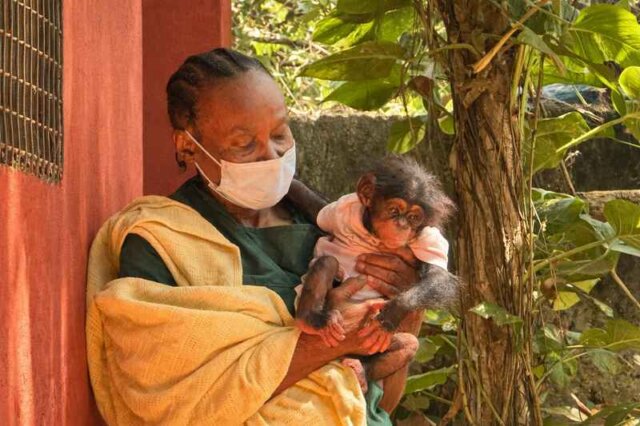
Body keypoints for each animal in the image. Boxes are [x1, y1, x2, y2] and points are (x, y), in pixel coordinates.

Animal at [287, 155, 462, 399]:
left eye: (414, 217)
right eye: (394, 210)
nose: (402, 224)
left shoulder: (429, 237)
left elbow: (439, 277)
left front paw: (395, 310)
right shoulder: (341, 209)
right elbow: (317, 207)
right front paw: (288, 184)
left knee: (408, 345)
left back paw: (362, 370)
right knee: (327, 262)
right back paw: (310, 319)